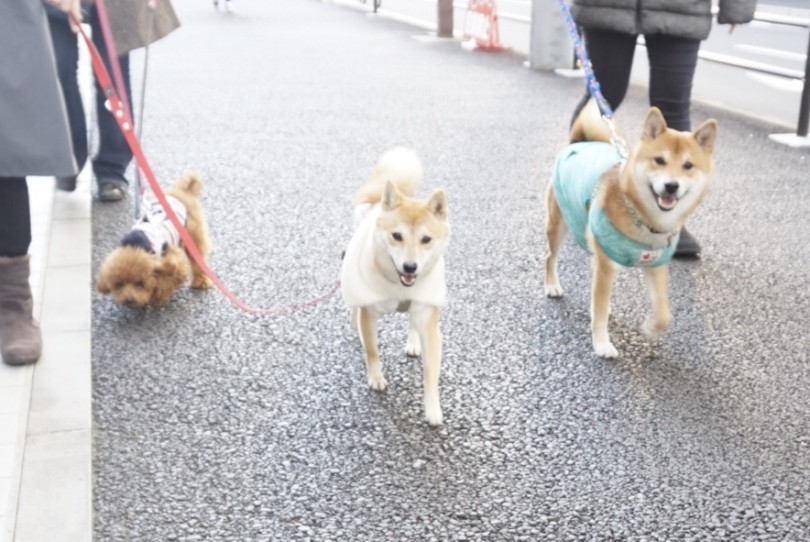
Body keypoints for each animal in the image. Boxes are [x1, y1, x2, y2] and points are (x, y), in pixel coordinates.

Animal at [340, 147, 448, 428]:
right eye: (397, 236)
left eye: (426, 239)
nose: (410, 267)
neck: (401, 287)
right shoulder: (369, 313)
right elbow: (373, 351)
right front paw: (376, 378)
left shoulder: (428, 318)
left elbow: (431, 373)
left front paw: (433, 409)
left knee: (411, 322)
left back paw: (412, 342)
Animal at [544, 100, 712, 360]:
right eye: (659, 160)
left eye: (688, 166)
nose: (671, 186)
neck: (645, 221)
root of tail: (579, 142)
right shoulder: (605, 264)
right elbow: (599, 311)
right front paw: (602, 344)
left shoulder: (655, 265)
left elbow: (664, 313)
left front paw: (651, 328)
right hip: (559, 222)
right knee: (549, 256)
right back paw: (552, 285)